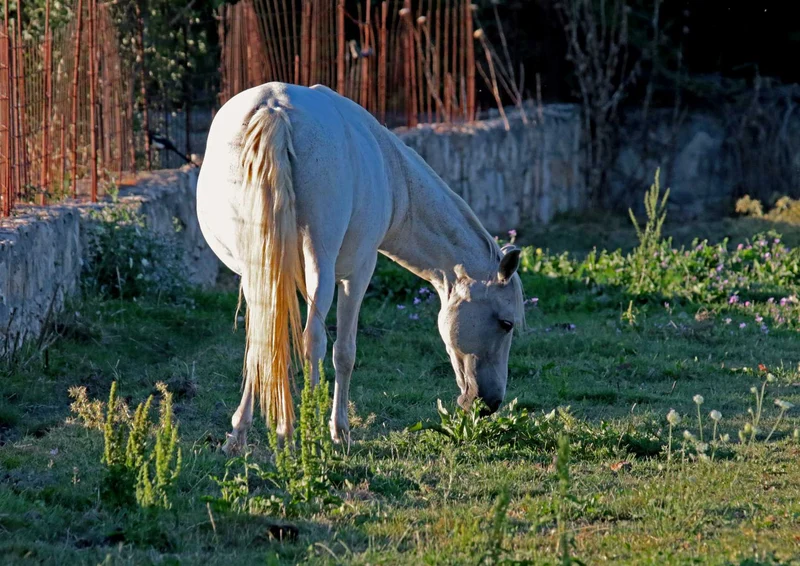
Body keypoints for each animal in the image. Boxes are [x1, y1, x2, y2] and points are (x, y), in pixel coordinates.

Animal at [196, 82, 525, 454]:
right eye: (506, 323)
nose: (491, 404)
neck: (395, 176)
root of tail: (274, 108)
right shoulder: (358, 273)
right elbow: (344, 352)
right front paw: (339, 431)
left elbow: (263, 343)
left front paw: (241, 432)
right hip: (320, 268)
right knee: (314, 341)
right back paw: (306, 436)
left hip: (260, 268)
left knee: (263, 340)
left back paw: (247, 435)